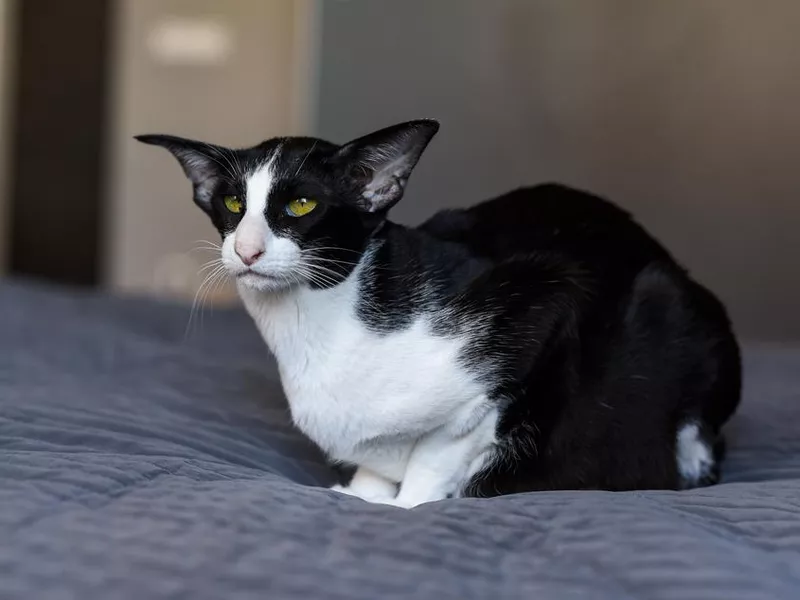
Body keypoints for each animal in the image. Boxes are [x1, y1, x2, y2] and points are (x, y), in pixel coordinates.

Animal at [139, 120, 744, 506]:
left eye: (302, 204)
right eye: (233, 204)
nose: (246, 250)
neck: (315, 326)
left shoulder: (544, 301)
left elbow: (440, 452)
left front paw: (407, 504)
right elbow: (374, 465)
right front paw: (362, 494)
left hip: (668, 304)